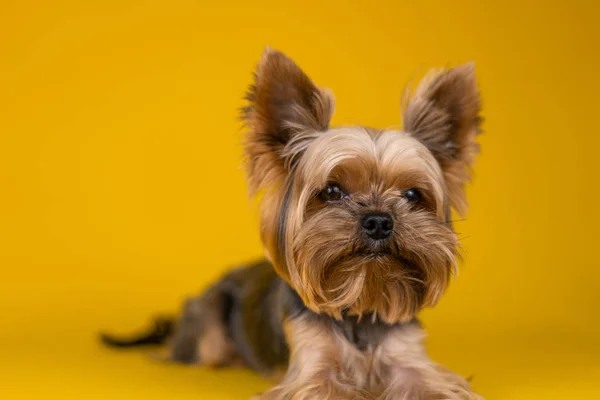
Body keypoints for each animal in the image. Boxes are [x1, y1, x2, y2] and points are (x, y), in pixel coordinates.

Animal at [102, 47, 482, 400]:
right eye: (331, 191)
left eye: (413, 194)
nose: (379, 221)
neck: (361, 301)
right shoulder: (311, 370)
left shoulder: (411, 359)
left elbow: (431, 384)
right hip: (210, 321)